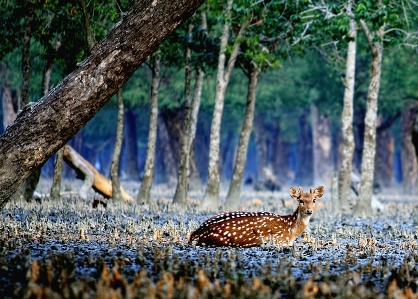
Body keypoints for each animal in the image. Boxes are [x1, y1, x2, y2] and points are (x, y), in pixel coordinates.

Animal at [189, 188, 324, 248]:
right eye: (300, 200)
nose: (309, 211)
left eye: (314, 200)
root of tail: (195, 234)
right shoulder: (278, 240)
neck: (291, 231)